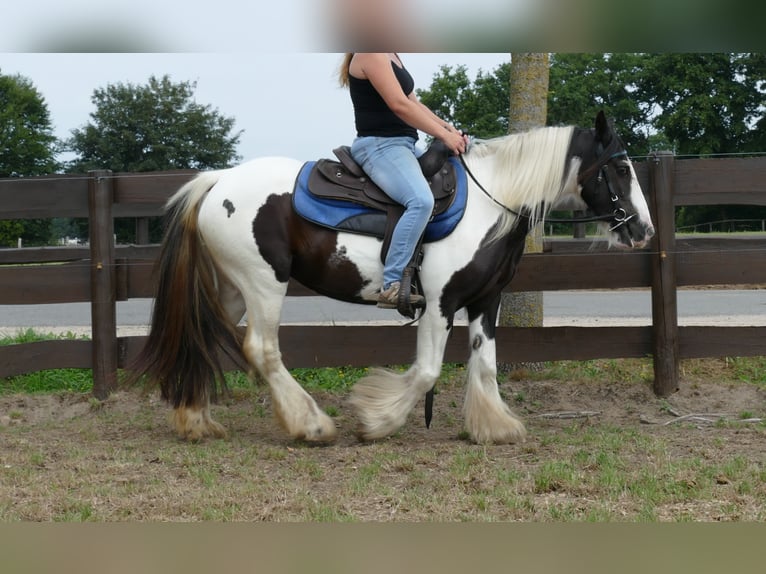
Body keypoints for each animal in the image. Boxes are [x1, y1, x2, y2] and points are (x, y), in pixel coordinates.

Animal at [130, 111, 656, 446]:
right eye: (621, 167)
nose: (645, 231)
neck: (491, 201)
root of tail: (217, 180)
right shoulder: (440, 304)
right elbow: (425, 372)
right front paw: (376, 421)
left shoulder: (486, 301)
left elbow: (484, 365)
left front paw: (494, 427)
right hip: (264, 283)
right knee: (262, 349)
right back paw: (312, 426)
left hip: (233, 288)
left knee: (203, 339)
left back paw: (196, 421)